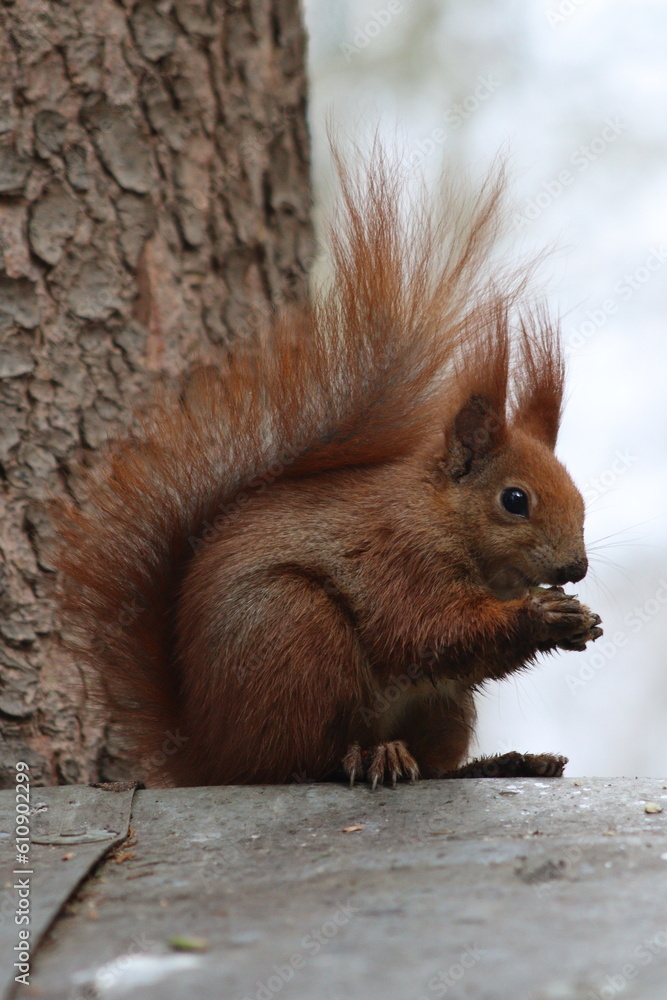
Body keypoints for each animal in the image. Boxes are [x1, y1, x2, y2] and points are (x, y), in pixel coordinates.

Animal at [52, 145, 603, 789]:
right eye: (514, 500)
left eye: (581, 500)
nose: (576, 568)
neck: (443, 517)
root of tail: (210, 754)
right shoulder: (399, 556)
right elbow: (425, 630)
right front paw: (541, 615)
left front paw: (578, 621)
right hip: (296, 633)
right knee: (296, 762)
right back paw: (367, 757)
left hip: (440, 707)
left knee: (433, 762)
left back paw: (499, 763)